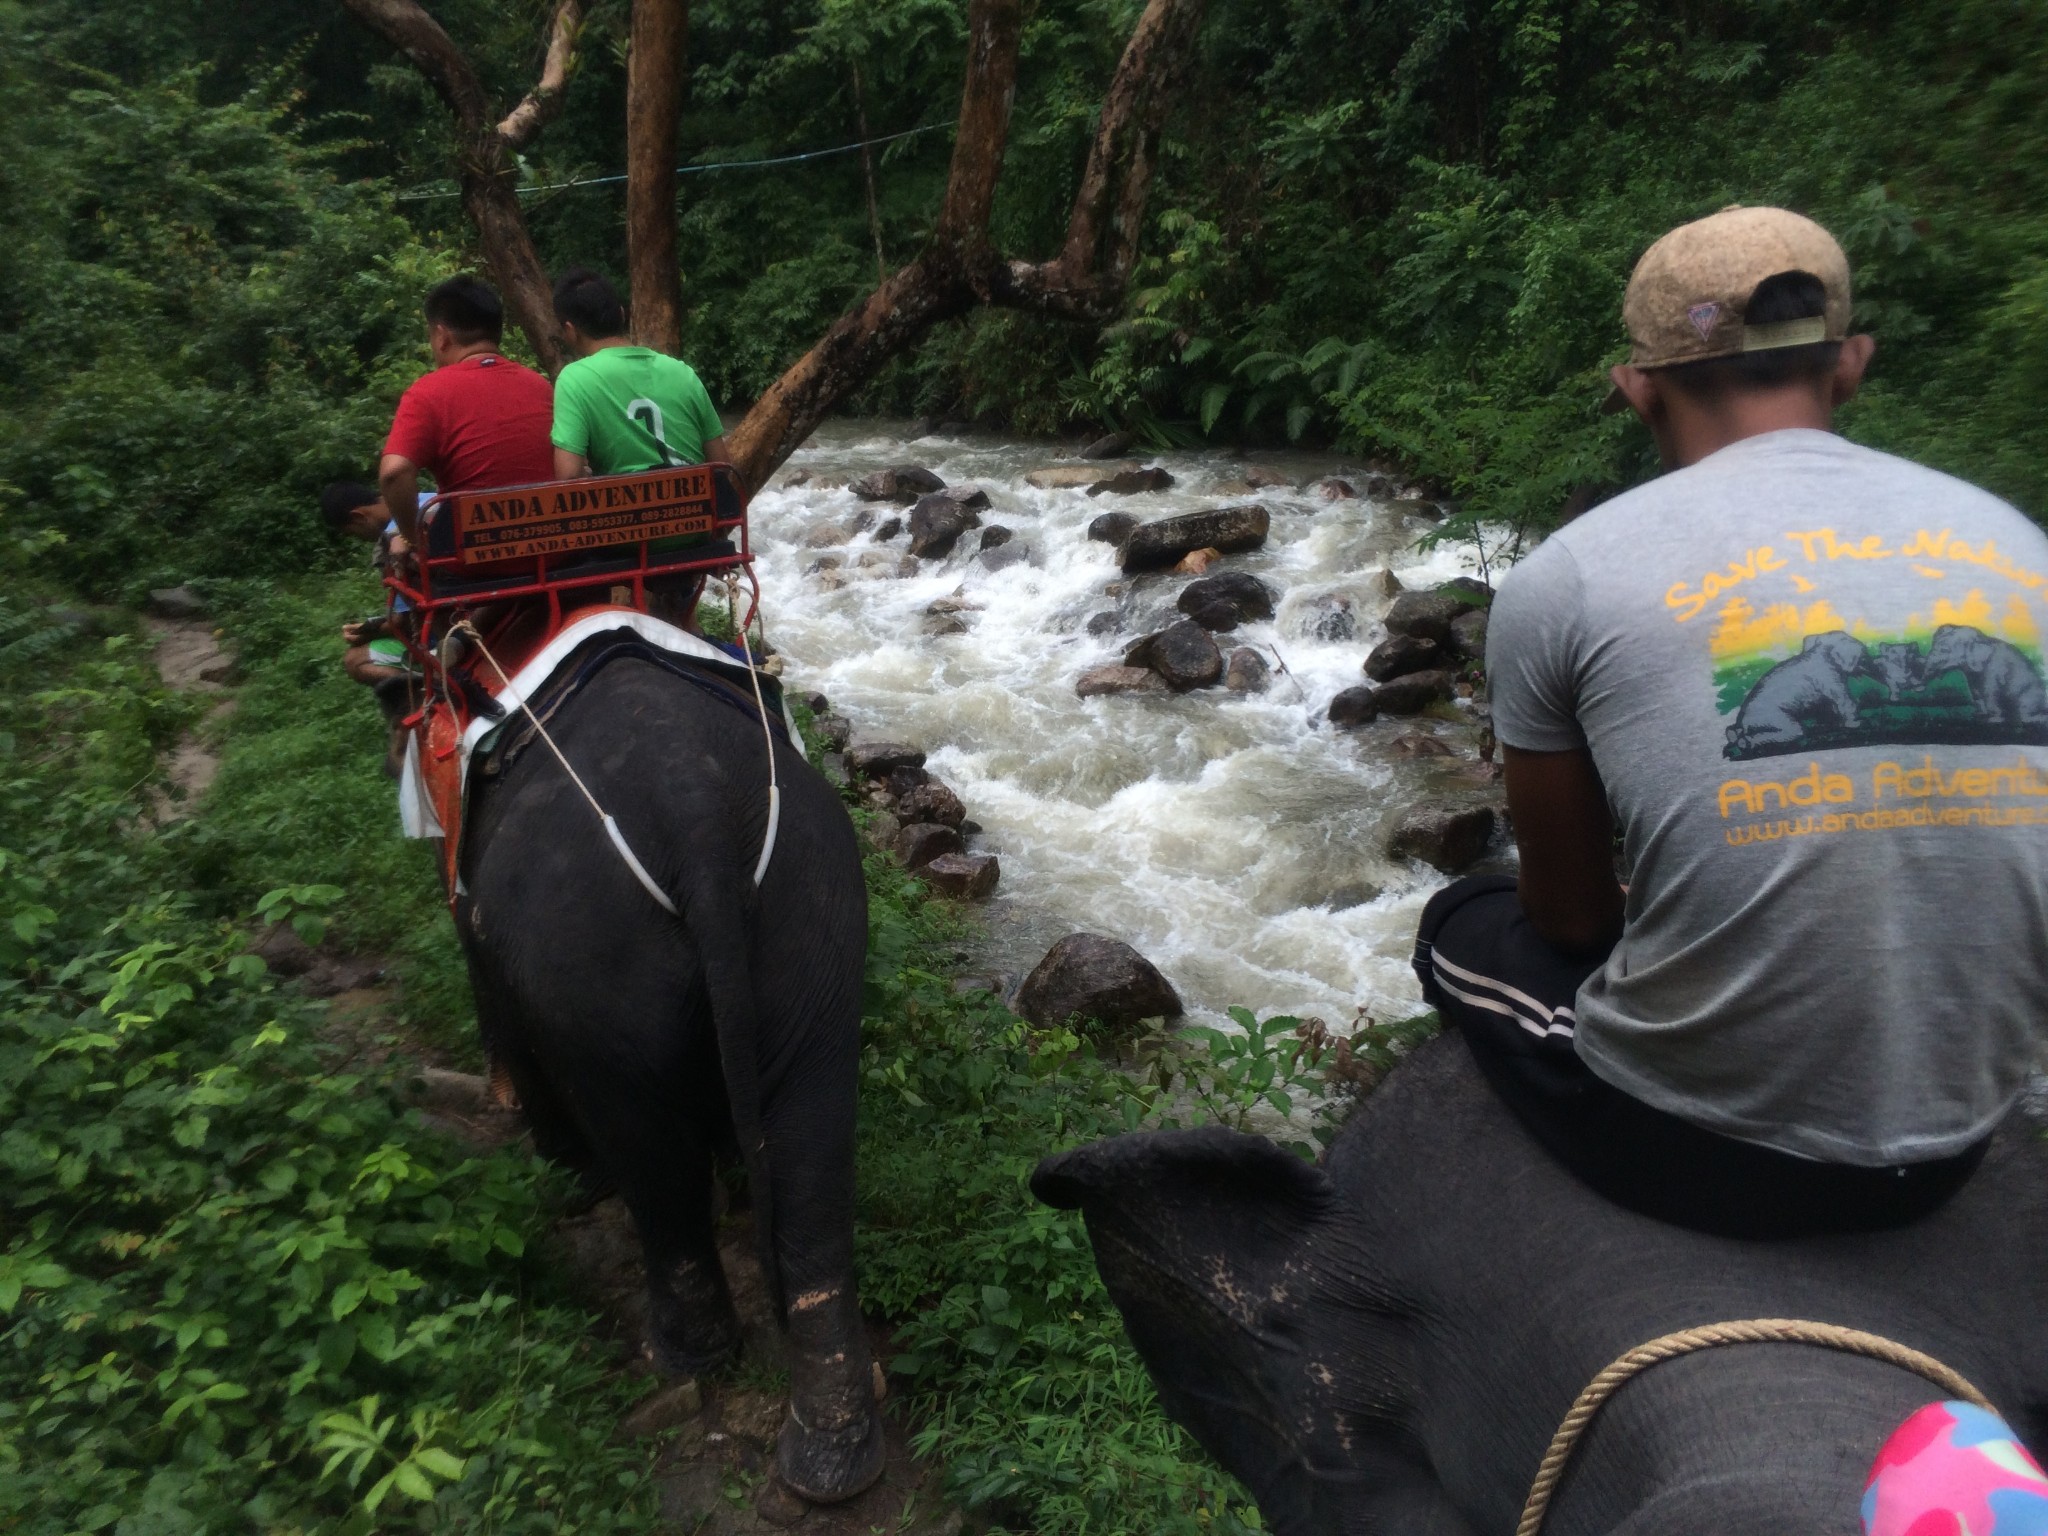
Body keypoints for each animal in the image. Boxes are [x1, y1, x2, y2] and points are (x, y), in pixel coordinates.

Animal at [460, 643, 884, 1507]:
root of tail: (696, 820)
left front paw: (564, 1179)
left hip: (592, 962)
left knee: (650, 1159)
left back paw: (689, 1356)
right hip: (816, 912)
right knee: (812, 1149)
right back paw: (832, 1460)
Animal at [1728, 630, 1875, 757]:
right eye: (1863, 656)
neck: (1821, 651)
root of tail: (1743, 722)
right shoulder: (1830, 679)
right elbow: (1844, 701)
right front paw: (1857, 723)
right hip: (1775, 719)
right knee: (1792, 731)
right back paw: (1745, 743)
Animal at [1916, 622, 2048, 724]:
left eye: (1944, 650)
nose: (1919, 688)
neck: (1984, 638)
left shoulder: (1993, 668)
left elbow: (1989, 691)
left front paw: (1994, 721)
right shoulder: (1972, 672)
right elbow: (1975, 691)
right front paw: (1979, 716)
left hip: (2030, 695)